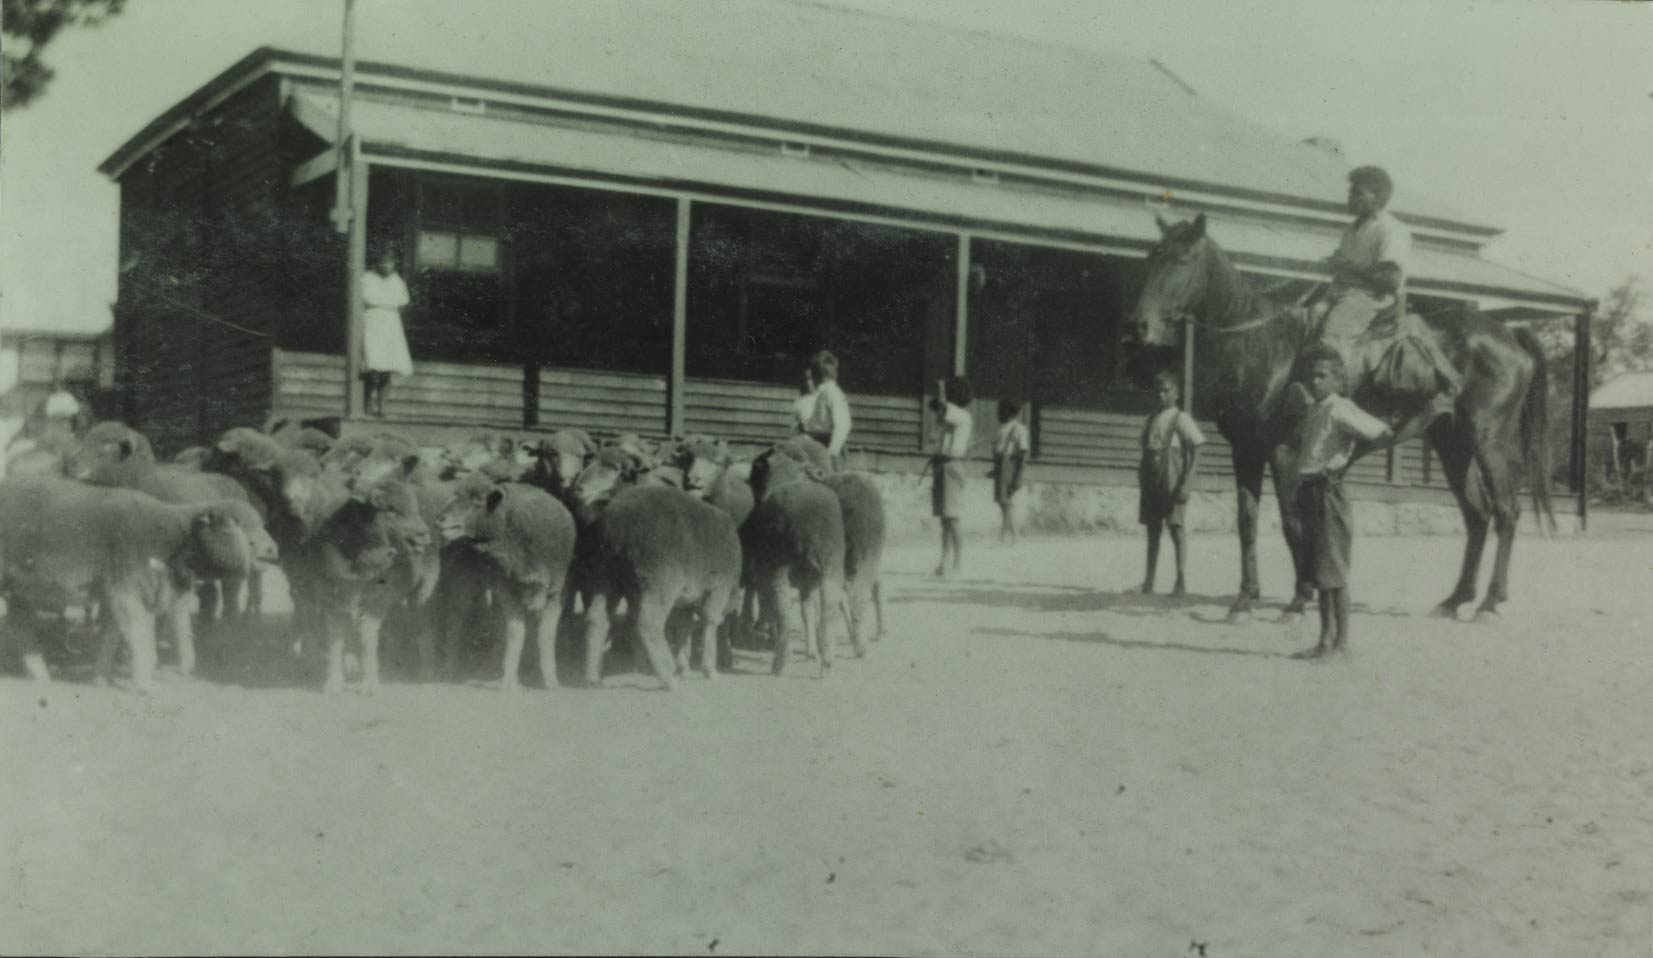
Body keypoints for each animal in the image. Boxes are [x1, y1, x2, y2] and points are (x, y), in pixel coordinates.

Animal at [1130, 213, 1553, 624]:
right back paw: (1455, 600)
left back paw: (1489, 602)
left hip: (1487, 439)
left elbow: (1292, 522)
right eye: (1152, 256)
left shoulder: (1284, 452)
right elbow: (1247, 522)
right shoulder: (1246, 450)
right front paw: (1245, 600)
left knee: (1506, 512)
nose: (1140, 326)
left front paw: (1300, 598)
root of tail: (1510, 334)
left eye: (1182, 259)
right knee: (1477, 516)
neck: (1265, 347)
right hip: (1453, 446)